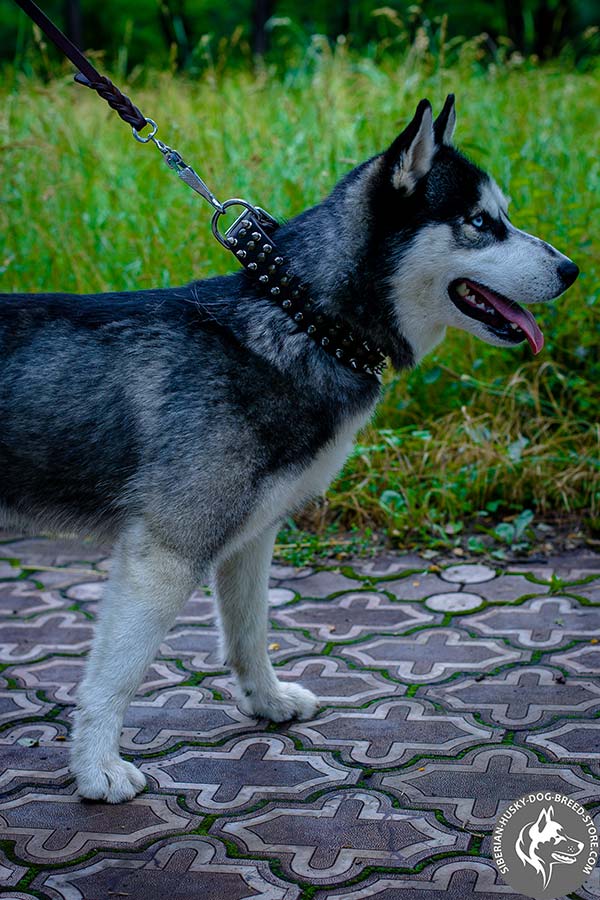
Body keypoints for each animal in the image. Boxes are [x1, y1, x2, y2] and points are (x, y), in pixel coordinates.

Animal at [1, 98, 580, 800]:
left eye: (504, 216)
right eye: (479, 223)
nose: (572, 270)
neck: (306, 319)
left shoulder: (251, 537)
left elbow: (250, 633)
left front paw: (267, 702)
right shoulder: (166, 551)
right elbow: (116, 674)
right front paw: (96, 768)